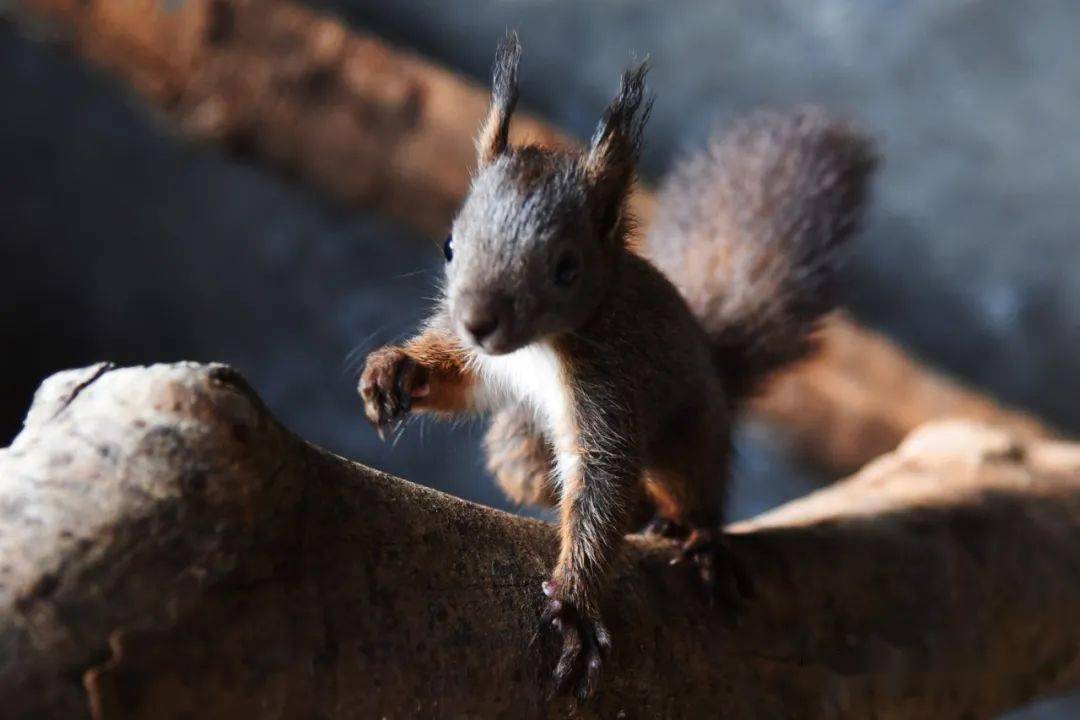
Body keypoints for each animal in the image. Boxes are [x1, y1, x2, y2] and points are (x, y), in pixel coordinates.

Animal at [358, 33, 872, 699]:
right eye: (449, 245)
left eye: (565, 267)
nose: (477, 321)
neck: (540, 347)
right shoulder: (482, 361)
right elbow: (459, 379)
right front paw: (394, 371)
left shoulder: (611, 386)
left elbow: (600, 484)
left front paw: (575, 606)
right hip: (520, 444)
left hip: (690, 438)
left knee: (690, 490)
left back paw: (695, 536)